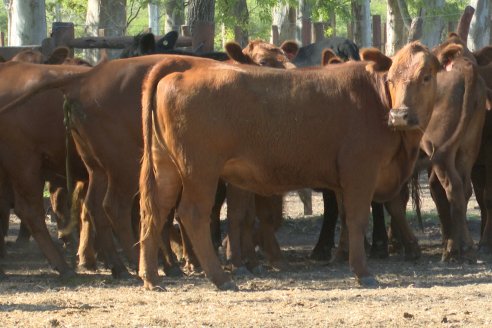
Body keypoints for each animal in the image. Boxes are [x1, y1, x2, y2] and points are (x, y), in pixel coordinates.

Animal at [139, 41, 442, 290]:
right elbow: (357, 219)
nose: (400, 115)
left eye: (426, 76)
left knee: (155, 210)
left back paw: (151, 277)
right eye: (391, 79)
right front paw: (362, 272)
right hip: (199, 171)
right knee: (192, 214)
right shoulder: (360, 171)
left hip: (165, 167)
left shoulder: (343, 181)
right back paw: (220, 278)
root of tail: (182, 71)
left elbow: (347, 218)